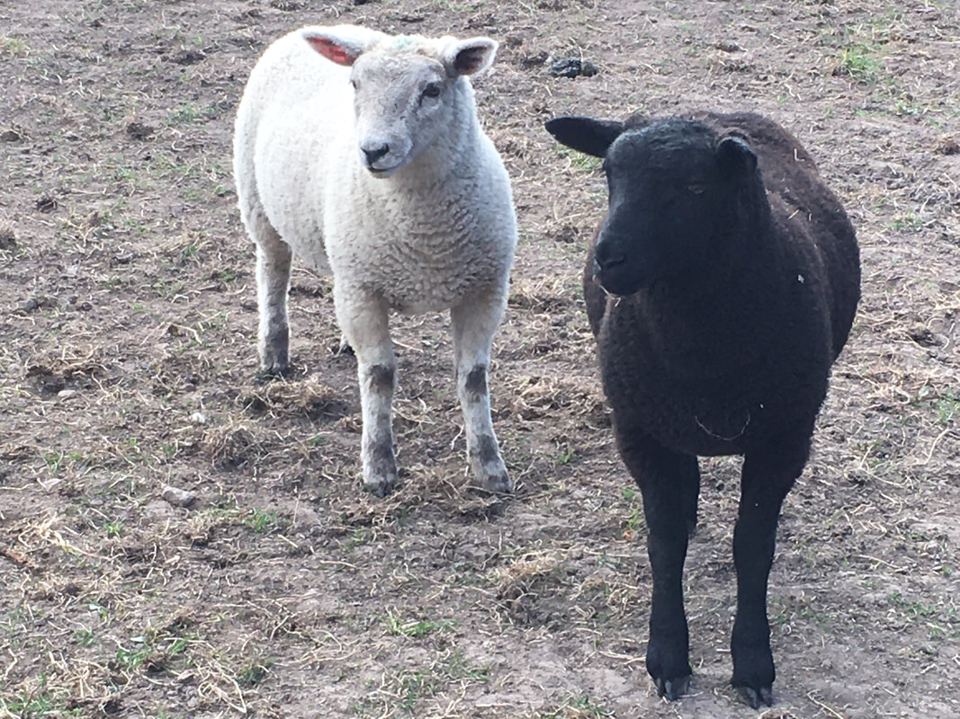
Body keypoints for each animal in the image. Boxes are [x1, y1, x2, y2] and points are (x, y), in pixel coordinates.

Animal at [233, 25, 517, 496]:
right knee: (273, 273)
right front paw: (379, 466)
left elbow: (473, 378)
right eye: (354, 84)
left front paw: (489, 465)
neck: (427, 238)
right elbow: (379, 375)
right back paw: (273, 355)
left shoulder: (484, 290)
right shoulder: (364, 290)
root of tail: (320, 27)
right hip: (259, 205)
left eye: (432, 89)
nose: (373, 151)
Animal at [545, 111, 860, 707]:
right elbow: (664, 543)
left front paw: (754, 664)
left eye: (695, 187)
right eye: (609, 173)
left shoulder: (784, 437)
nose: (608, 258)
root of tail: (711, 112)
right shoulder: (640, 431)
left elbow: (752, 546)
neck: (702, 358)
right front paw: (668, 656)